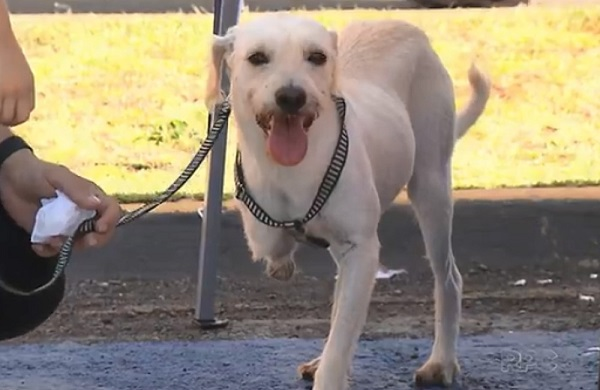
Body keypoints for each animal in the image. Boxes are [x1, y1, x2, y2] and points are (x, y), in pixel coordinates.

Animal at [205, 11, 488, 386]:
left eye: (317, 57)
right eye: (257, 57)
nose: (291, 96)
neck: (293, 168)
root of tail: (406, 26)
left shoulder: (361, 249)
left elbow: (343, 336)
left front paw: (331, 374)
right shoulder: (266, 223)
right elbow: (273, 245)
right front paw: (283, 262)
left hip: (432, 187)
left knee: (448, 279)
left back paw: (441, 362)